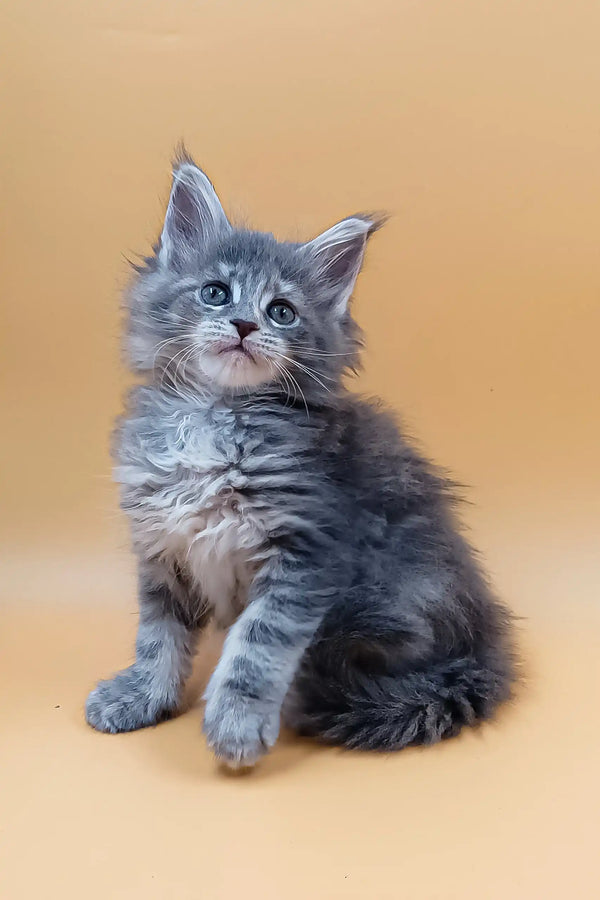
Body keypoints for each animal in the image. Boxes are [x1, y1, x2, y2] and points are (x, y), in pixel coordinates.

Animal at [84, 149, 516, 768]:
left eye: (282, 312)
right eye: (216, 293)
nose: (245, 325)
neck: (215, 413)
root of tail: (485, 641)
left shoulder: (310, 548)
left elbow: (258, 643)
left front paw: (237, 722)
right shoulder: (162, 544)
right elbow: (158, 636)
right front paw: (143, 696)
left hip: (379, 596)